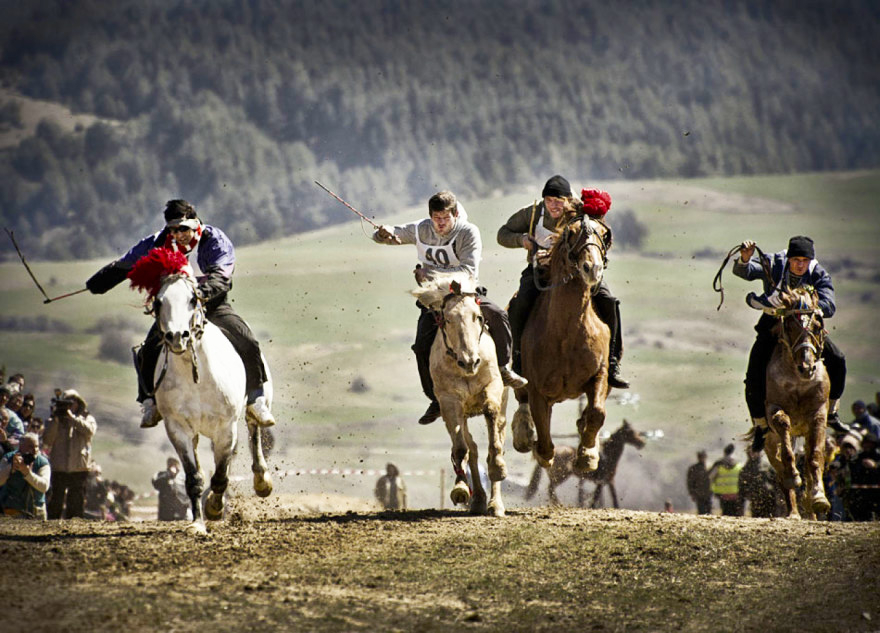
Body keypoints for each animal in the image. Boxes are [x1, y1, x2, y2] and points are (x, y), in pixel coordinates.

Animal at [138, 254, 272, 532]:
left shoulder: (225, 428)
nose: (177, 336)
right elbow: (193, 477)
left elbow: (220, 475)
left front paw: (214, 507)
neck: (195, 376)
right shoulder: (178, 428)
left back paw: (262, 479)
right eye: (159, 301)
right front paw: (198, 523)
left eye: (192, 298)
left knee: (254, 428)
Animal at [414, 274, 508, 516]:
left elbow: (491, 419)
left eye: (478, 317)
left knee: (497, 436)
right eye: (447, 319)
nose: (469, 361)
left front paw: (497, 468)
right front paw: (460, 489)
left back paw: (495, 504)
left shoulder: (493, 387)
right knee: (470, 448)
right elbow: (460, 448)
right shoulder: (449, 402)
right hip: (460, 413)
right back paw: (477, 500)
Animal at [508, 215, 612, 472]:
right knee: (522, 401)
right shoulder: (538, 390)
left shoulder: (600, 374)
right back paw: (524, 434)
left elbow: (597, 412)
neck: (567, 333)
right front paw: (542, 452)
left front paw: (587, 454)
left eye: (604, 234)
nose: (592, 268)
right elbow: (545, 441)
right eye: (570, 233)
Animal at [760, 286, 828, 520]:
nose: (806, 367)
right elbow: (783, 427)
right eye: (789, 326)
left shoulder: (818, 414)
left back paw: (813, 509)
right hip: (769, 442)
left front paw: (819, 498)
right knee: (780, 471)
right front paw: (792, 475)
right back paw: (793, 513)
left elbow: (815, 457)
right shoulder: (773, 409)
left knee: (809, 464)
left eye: (817, 326)